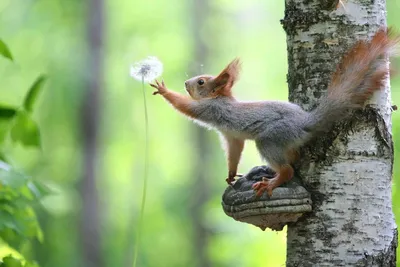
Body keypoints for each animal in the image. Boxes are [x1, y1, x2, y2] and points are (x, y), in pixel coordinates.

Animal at [151, 28, 400, 197]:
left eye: (201, 82)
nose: (186, 83)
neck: (220, 98)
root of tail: (306, 121)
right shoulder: (232, 137)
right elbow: (234, 153)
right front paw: (231, 174)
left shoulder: (211, 109)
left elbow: (186, 106)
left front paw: (164, 90)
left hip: (270, 139)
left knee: (287, 170)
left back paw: (272, 182)